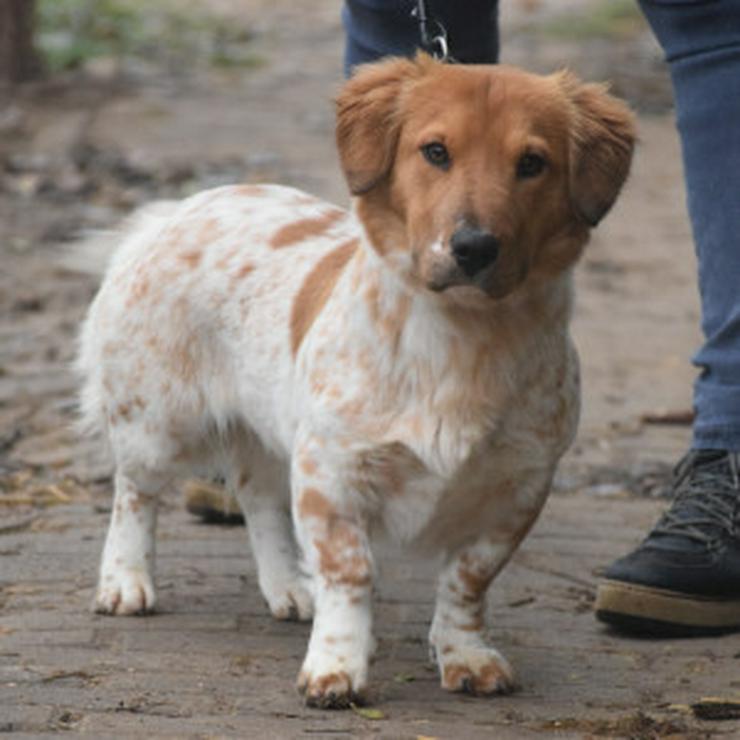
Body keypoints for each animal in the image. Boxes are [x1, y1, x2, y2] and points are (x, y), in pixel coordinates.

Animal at [79, 55, 636, 708]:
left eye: (532, 163)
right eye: (436, 151)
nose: (474, 247)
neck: (463, 343)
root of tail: (173, 214)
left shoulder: (516, 490)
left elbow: (466, 581)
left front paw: (465, 654)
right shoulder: (333, 471)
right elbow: (351, 572)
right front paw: (336, 666)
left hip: (269, 435)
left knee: (258, 500)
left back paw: (289, 588)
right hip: (156, 421)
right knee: (133, 495)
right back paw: (126, 581)